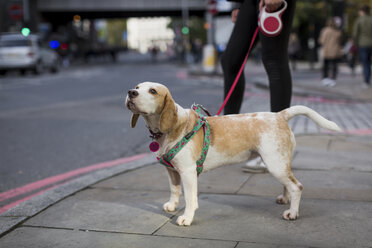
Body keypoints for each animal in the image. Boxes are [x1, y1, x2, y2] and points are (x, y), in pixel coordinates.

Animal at [126, 82, 342, 226]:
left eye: (152, 91)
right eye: (137, 86)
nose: (131, 92)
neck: (170, 128)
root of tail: (280, 115)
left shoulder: (187, 173)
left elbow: (190, 198)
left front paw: (187, 217)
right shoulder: (172, 171)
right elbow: (174, 190)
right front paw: (172, 205)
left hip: (275, 164)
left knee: (297, 186)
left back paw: (293, 213)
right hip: (280, 164)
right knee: (289, 184)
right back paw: (284, 199)